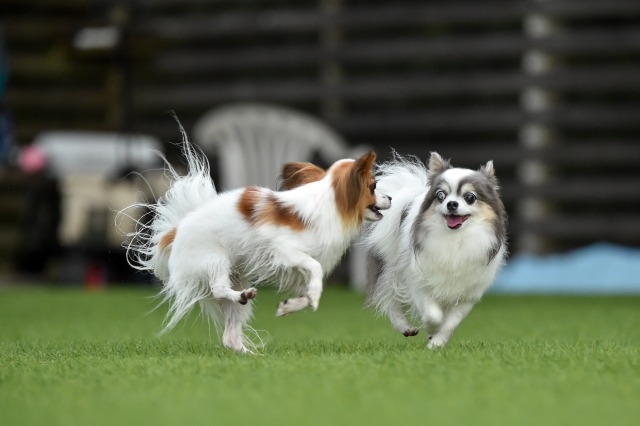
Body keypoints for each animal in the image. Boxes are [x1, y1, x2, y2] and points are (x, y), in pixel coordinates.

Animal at [120, 135, 390, 352]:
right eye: (373, 186)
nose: (389, 197)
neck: (328, 205)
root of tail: (175, 232)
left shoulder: (297, 268)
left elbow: (307, 289)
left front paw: (291, 306)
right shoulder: (285, 253)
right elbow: (315, 272)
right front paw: (312, 297)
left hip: (234, 285)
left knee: (230, 336)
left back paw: (250, 356)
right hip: (216, 260)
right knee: (220, 289)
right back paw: (242, 297)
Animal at [362, 151, 508, 348]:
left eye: (470, 197)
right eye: (440, 195)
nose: (451, 204)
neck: (455, 239)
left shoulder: (467, 295)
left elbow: (450, 322)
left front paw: (437, 342)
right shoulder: (420, 284)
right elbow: (433, 315)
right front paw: (431, 331)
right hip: (390, 269)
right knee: (390, 301)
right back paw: (405, 326)